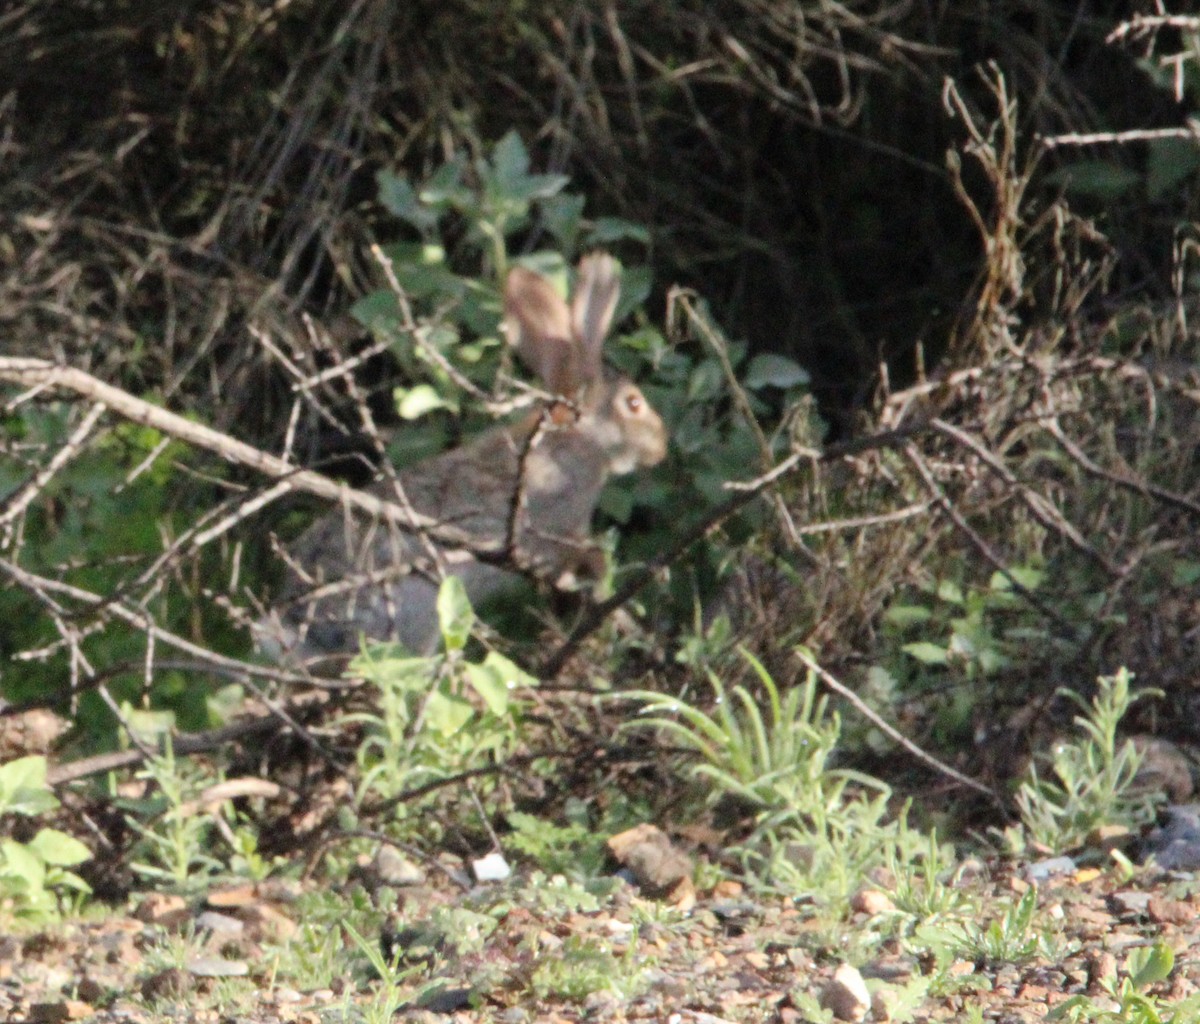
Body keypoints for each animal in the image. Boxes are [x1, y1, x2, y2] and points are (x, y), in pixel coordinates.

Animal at [256, 252, 668, 666]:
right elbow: (576, 553)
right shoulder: (554, 527)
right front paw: (600, 572)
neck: (576, 440)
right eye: (633, 404)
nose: (661, 447)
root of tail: (299, 634)